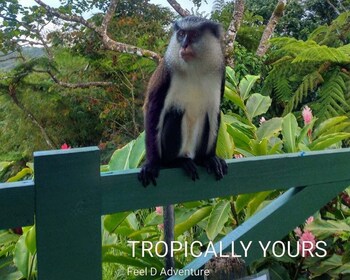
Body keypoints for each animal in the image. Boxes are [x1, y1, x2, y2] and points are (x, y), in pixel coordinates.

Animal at [137, 15, 227, 274]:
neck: (195, 67)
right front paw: (151, 163)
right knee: (175, 113)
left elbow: (214, 112)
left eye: (194, 35)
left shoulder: (220, 76)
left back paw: (201, 160)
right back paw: (175, 162)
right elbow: (153, 107)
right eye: (181, 35)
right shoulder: (166, 72)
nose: (184, 45)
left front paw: (211, 158)